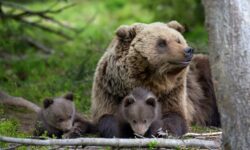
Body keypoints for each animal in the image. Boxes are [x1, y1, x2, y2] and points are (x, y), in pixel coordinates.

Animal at [91, 21, 220, 137]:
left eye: (178, 40)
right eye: (161, 43)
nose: (188, 50)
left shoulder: (172, 91)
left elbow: (174, 116)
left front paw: (160, 131)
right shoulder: (110, 90)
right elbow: (107, 116)